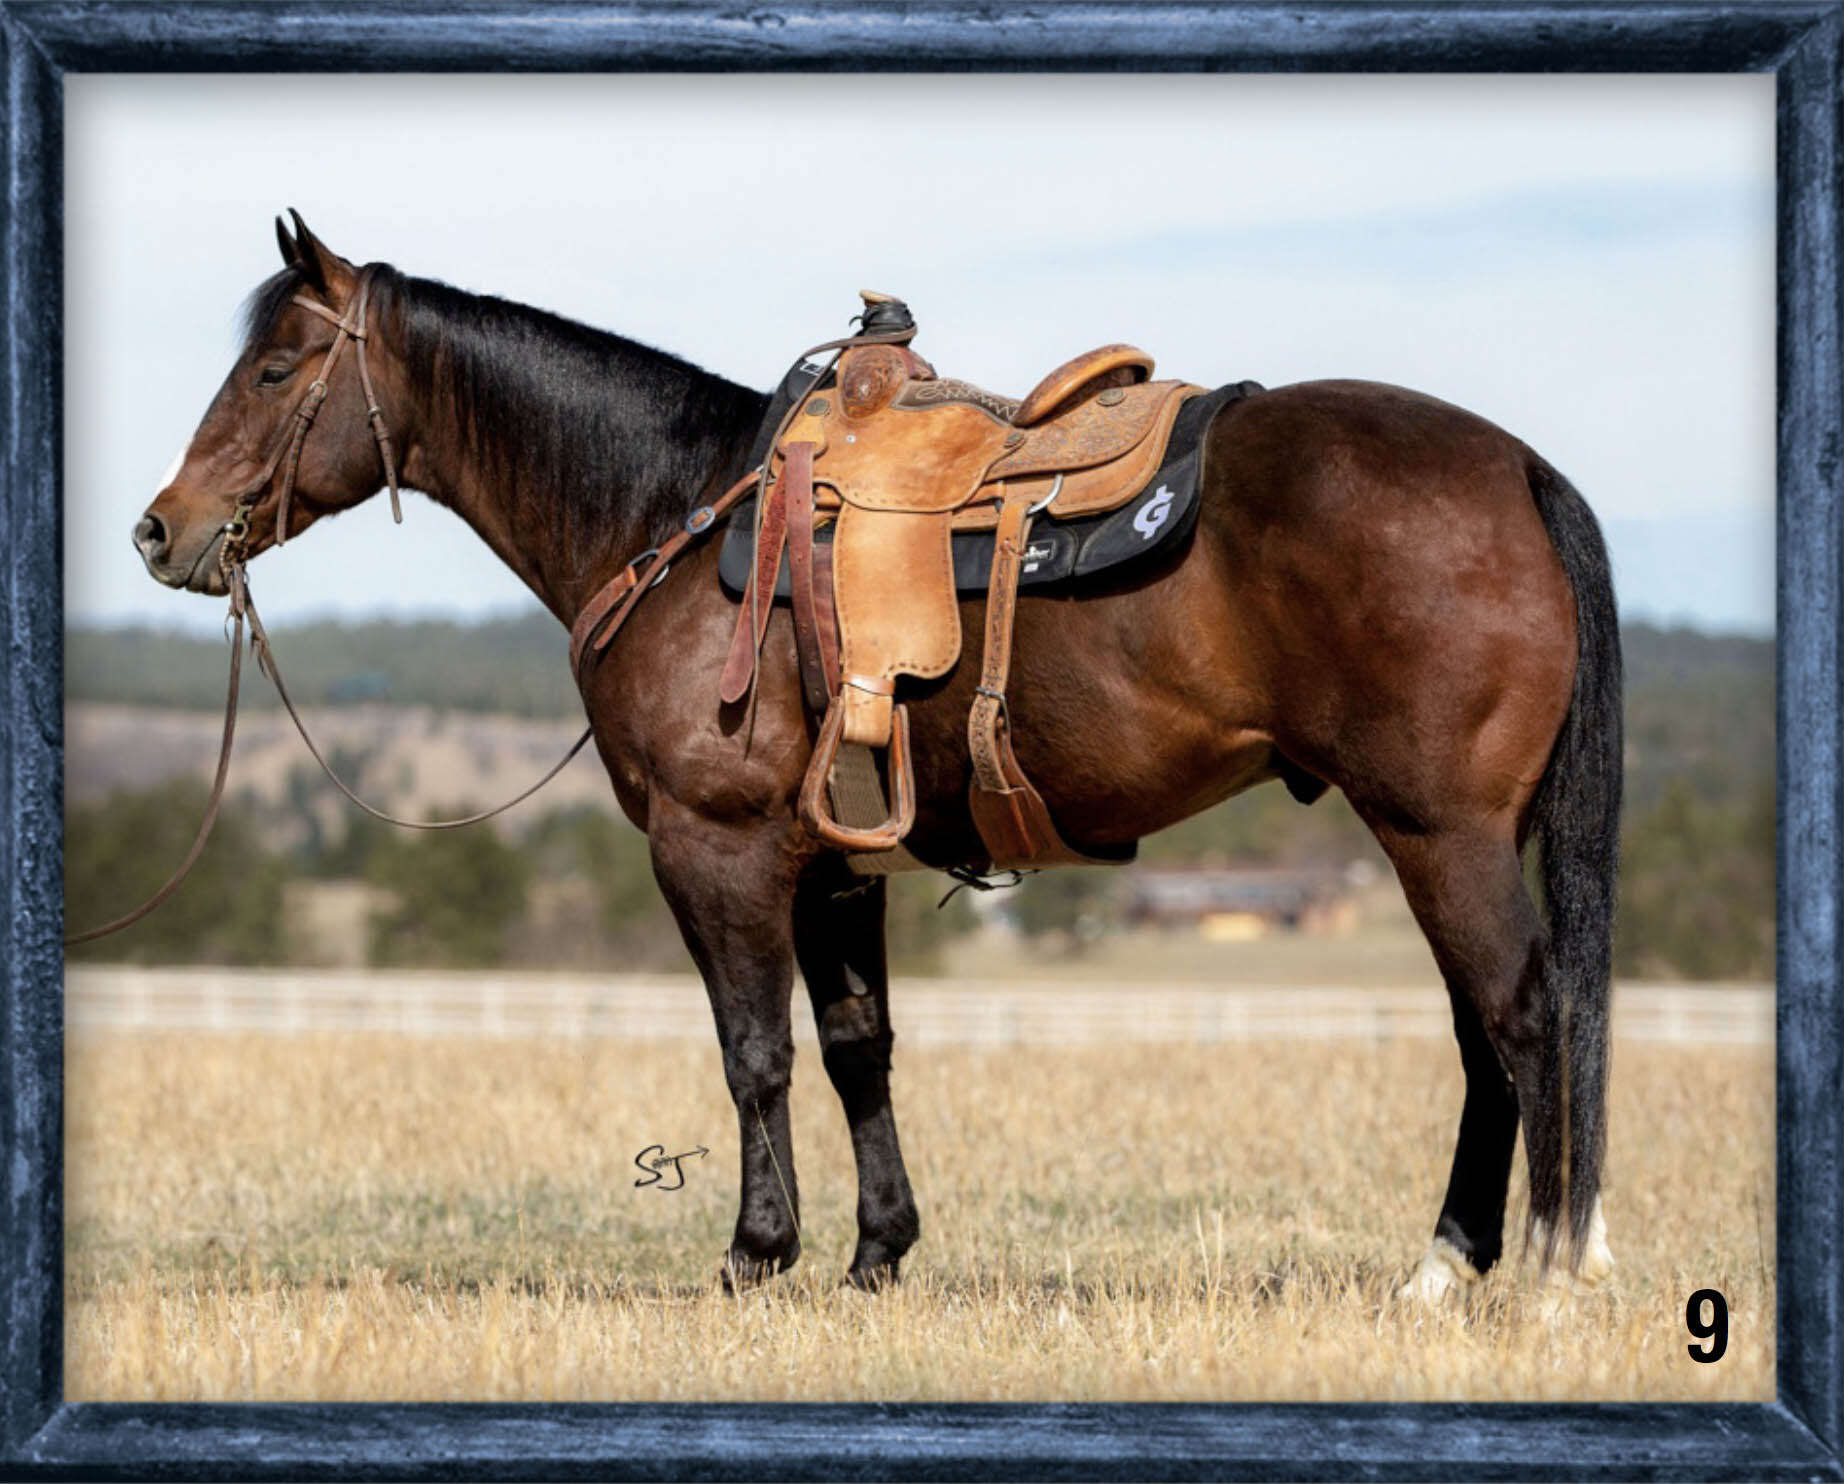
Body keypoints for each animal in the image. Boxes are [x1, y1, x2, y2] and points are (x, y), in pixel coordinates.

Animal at [132, 212, 1621, 1301]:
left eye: (274, 370)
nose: (160, 528)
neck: (673, 515)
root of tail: (1519, 468)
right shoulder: (836, 865)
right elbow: (858, 1049)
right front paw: (874, 1252)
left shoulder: (716, 847)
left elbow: (754, 1052)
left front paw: (754, 1252)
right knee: (1487, 1031)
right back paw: (1447, 1268)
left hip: (1440, 832)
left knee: (1522, 1015)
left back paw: (1542, 1273)